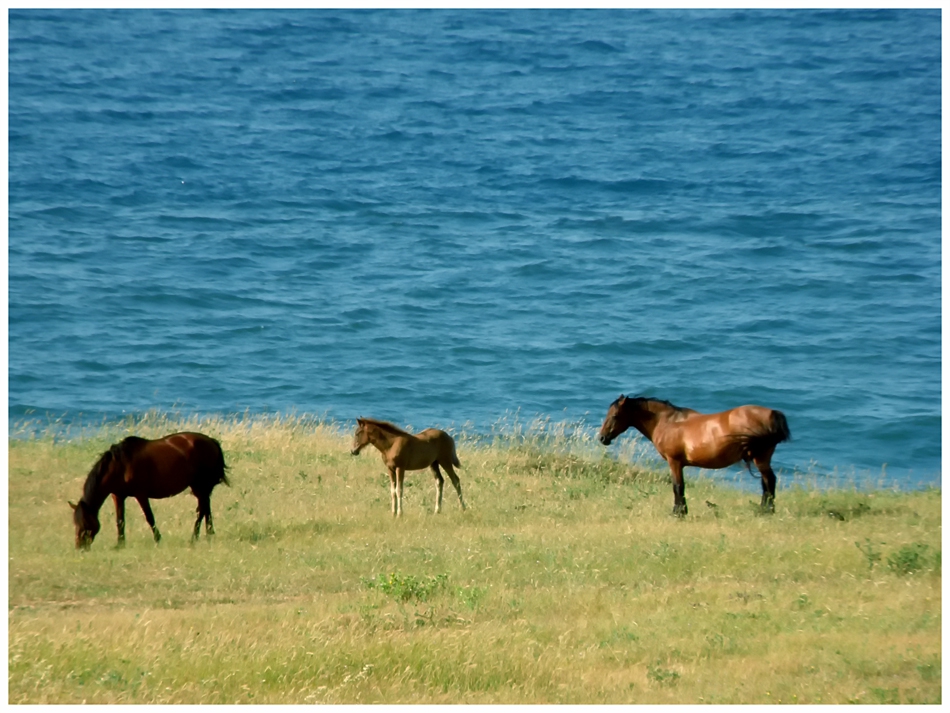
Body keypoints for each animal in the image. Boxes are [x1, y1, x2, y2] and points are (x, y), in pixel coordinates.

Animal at [69, 432, 231, 548]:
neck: (120, 465)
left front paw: (157, 539)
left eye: (85, 523)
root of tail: (212, 441)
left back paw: (194, 537)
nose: (80, 547)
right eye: (75, 523)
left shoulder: (141, 494)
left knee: (202, 510)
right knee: (206, 508)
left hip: (200, 485)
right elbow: (120, 520)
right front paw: (120, 544)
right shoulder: (118, 495)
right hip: (200, 487)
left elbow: (149, 517)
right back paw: (209, 534)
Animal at [600, 394, 792, 516]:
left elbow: (678, 486)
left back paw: (766, 511)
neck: (668, 422)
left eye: (615, 416)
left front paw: (678, 513)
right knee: (766, 483)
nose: (602, 438)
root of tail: (772, 413)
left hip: (760, 458)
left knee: (769, 481)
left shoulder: (674, 462)